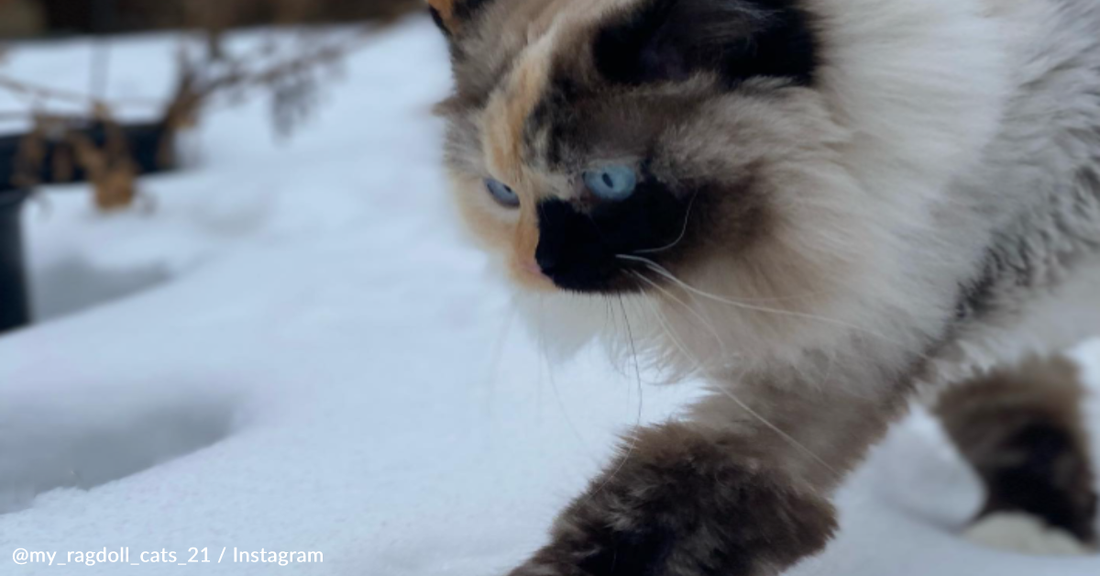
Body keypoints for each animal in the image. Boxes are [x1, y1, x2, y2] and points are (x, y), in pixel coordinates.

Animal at [426, 0, 1100, 571]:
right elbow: (1015, 405)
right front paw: (1033, 527)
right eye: (504, 194)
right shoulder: (916, 307)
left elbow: (657, 504)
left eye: (610, 181)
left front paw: (1031, 534)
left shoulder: (847, 352)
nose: (538, 266)